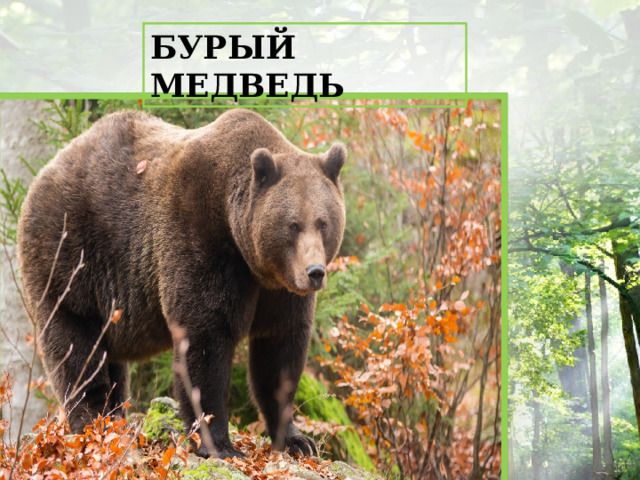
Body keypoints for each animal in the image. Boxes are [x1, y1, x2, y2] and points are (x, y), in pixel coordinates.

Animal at [17, 108, 346, 459]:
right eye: (293, 225)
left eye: (323, 222)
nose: (314, 272)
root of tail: (46, 170)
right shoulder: (198, 234)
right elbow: (204, 336)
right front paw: (219, 444)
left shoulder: (279, 290)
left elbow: (280, 349)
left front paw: (297, 439)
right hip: (69, 253)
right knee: (75, 343)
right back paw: (94, 423)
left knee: (110, 358)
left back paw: (115, 419)